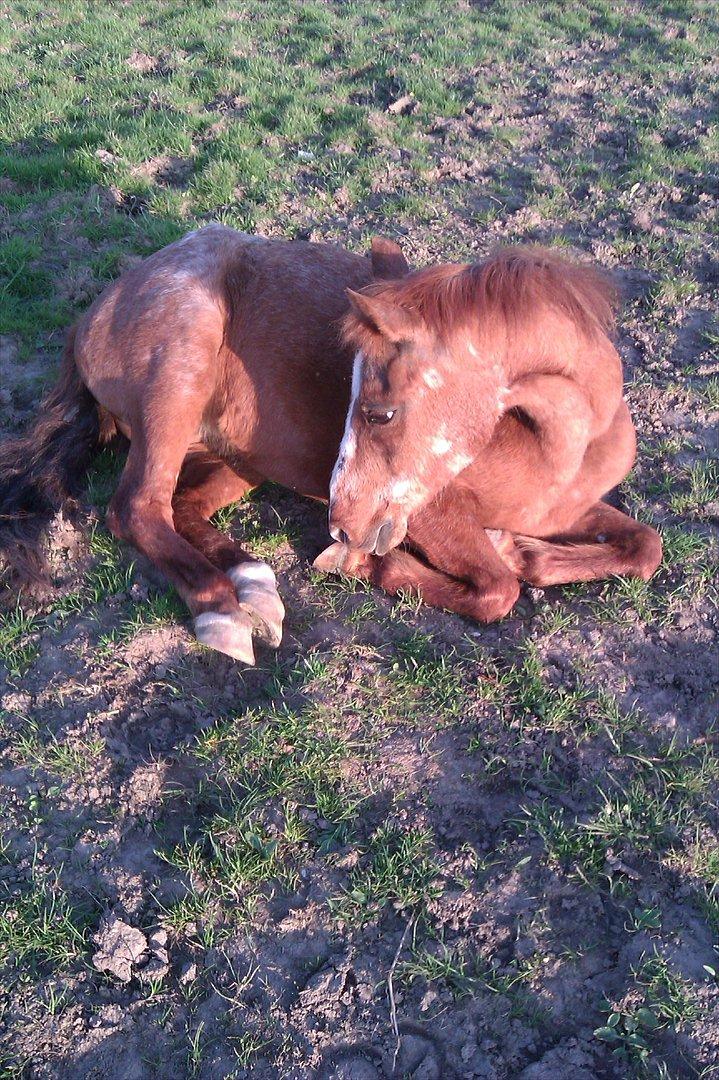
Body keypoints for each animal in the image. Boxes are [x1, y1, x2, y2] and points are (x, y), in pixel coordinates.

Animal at [0, 226, 660, 660]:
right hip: (178, 374)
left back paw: (253, 586)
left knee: (179, 506)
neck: (556, 452)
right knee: (137, 507)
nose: (343, 523)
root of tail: (89, 318)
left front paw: (526, 550)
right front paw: (368, 565)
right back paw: (222, 612)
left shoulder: (567, 509)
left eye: (380, 411)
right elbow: (498, 589)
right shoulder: (431, 513)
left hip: (240, 458)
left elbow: (643, 547)